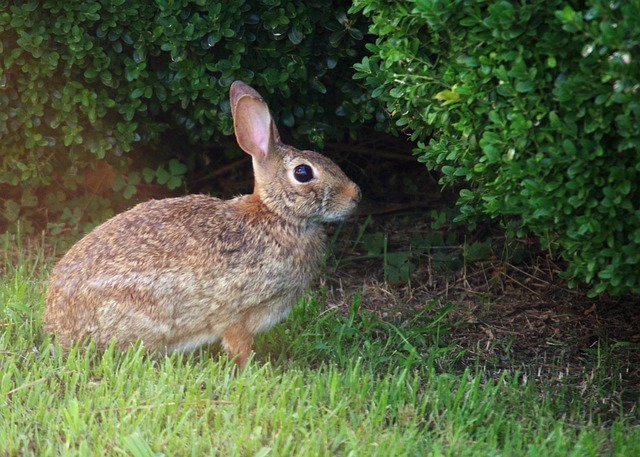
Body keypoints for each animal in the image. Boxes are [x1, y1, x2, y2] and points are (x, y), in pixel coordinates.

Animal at [44, 81, 361, 368]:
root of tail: (57, 325)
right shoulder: (238, 313)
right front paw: (248, 370)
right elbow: (238, 346)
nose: (356, 196)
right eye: (303, 173)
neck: (277, 216)